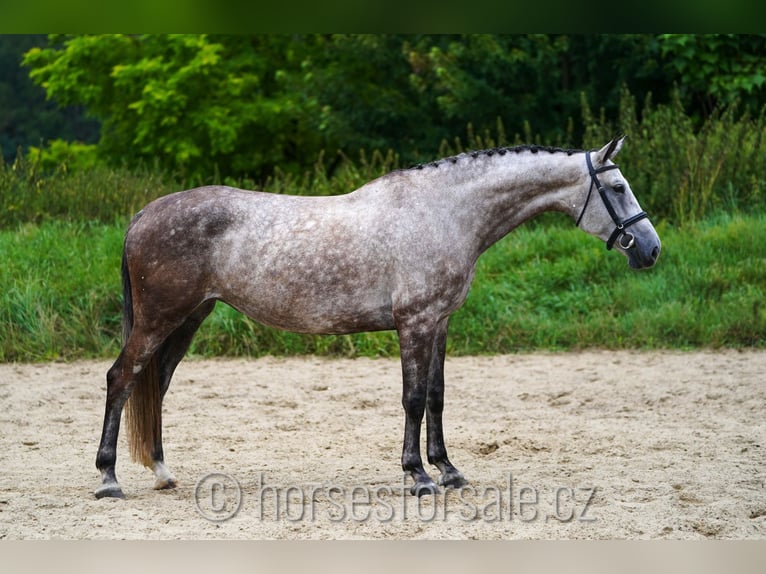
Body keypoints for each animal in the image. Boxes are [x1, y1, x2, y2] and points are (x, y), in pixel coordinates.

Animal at [96, 136, 660, 500]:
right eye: (617, 188)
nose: (650, 249)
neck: (443, 212)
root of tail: (144, 214)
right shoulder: (415, 323)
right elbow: (412, 399)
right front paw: (418, 477)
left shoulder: (440, 323)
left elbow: (435, 396)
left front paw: (448, 470)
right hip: (159, 320)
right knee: (122, 378)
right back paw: (108, 480)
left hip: (188, 319)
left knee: (155, 384)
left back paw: (162, 472)